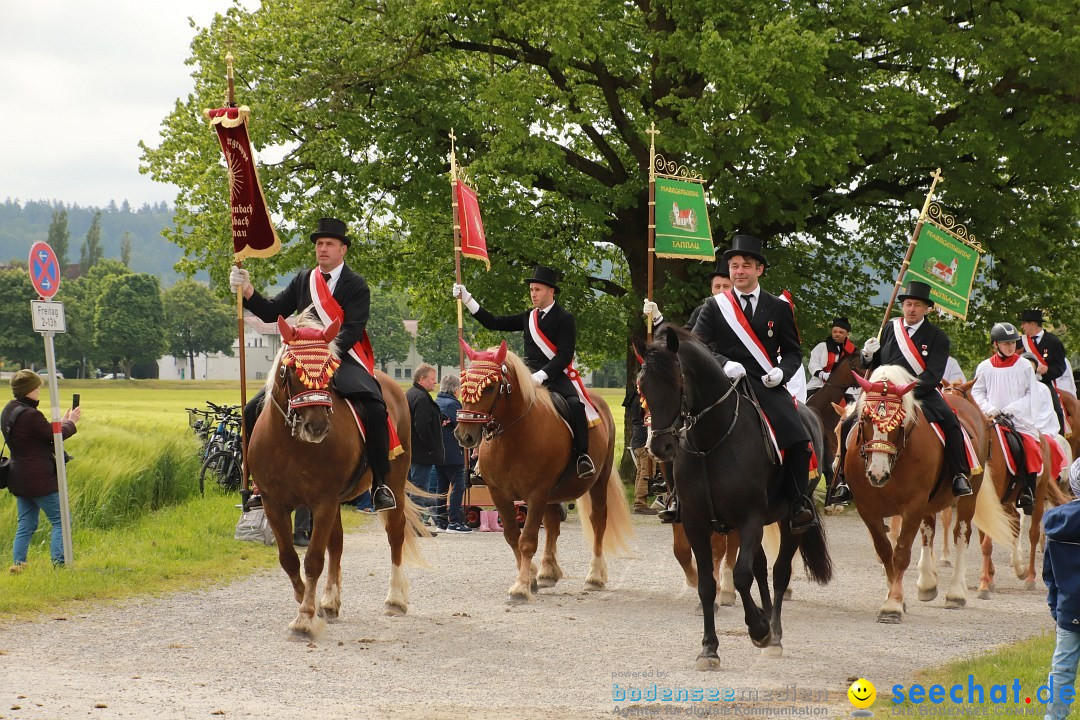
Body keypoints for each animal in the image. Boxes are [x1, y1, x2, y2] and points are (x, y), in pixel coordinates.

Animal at [250, 315, 423, 634]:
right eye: (291, 370)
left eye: (331, 372)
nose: (316, 426)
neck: (293, 445)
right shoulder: (273, 503)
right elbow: (289, 558)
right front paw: (307, 600)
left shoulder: (323, 501)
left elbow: (313, 559)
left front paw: (305, 617)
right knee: (338, 542)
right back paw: (330, 601)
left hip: (392, 481)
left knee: (394, 534)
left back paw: (394, 599)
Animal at [449, 338, 630, 604]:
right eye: (463, 385)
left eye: (490, 387)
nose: (464, 435)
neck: (513, 436)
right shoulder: (500, 494)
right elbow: (512, 536)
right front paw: (531, 576)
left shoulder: (536, 493)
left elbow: (527, 540)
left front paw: (521, 586)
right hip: (552, 493)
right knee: (553, 524)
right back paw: (547, 572)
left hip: (598, 481)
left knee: (598, 521)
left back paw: (595, 576)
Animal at [842, 369, 1010, 621]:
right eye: (866, 419)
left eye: (897, 422)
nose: (877, 474)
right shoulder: (867, 509)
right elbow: (885, 551)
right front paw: (896, 598)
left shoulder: (913, 506)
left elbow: (901, 553)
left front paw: (892, 605)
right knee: (928, 531)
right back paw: (928, 584)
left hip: (969, 495)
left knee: (961, 534)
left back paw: (956, 593)